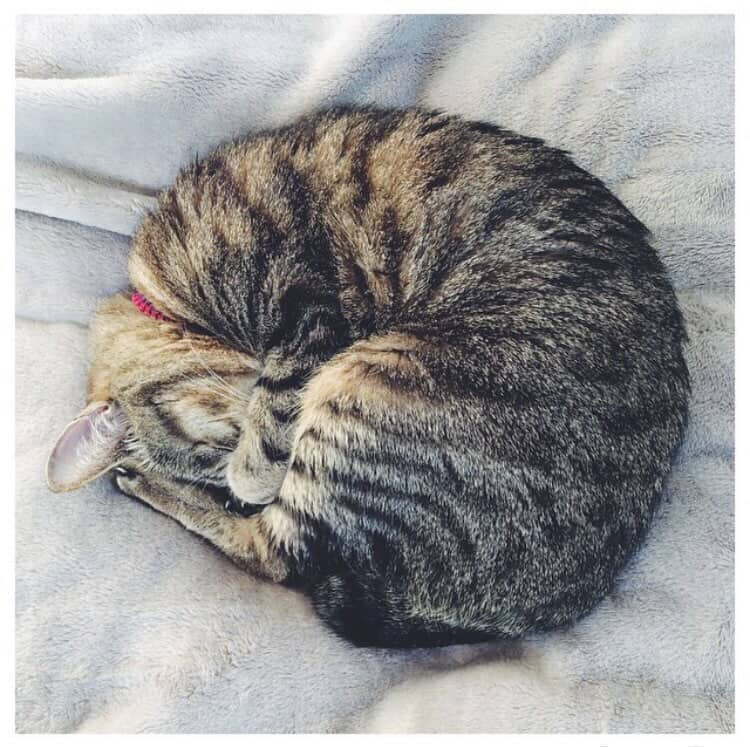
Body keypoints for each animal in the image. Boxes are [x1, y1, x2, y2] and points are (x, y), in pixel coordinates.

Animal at [47, 107, 690, 647]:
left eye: (215, 449)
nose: (228, 487)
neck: (168, 297)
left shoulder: (303, 313)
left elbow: (272, 414)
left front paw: (248, 473)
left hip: (364, 388)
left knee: (274, 555)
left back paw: (145, 484)